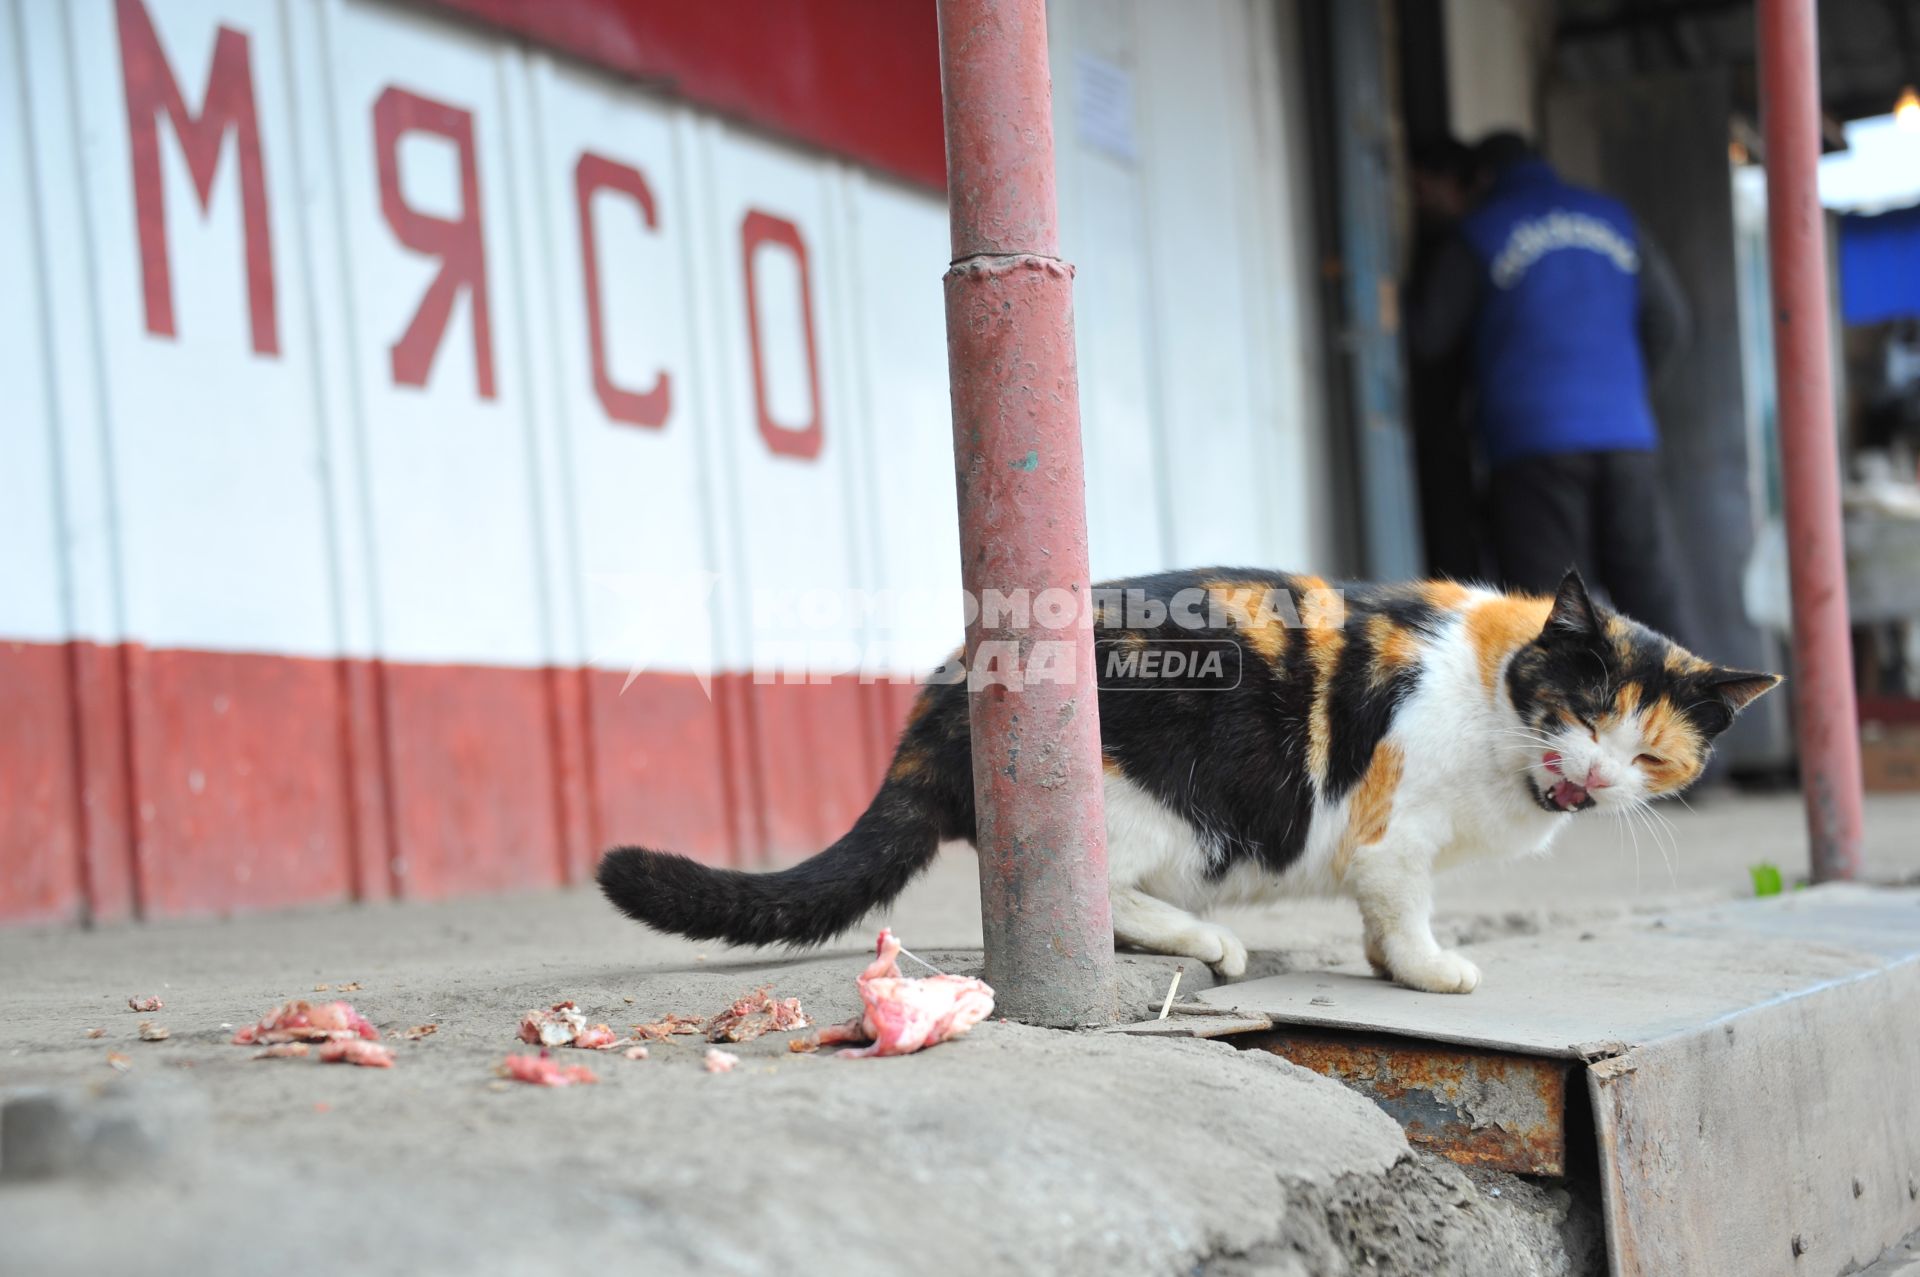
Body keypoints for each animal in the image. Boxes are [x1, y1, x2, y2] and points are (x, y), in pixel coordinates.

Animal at [591, 568, 1774, 998]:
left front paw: (1387, 962)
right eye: (1582, 709)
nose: (1596, 772)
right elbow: (1403, 901)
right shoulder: (1393, 827)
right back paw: (1211, 942)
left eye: (1651, 753)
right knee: (1083, 896)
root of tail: (941, 692)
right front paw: (1428, 969)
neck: (1495, 693)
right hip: (1164, 812)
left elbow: (1384, 914)